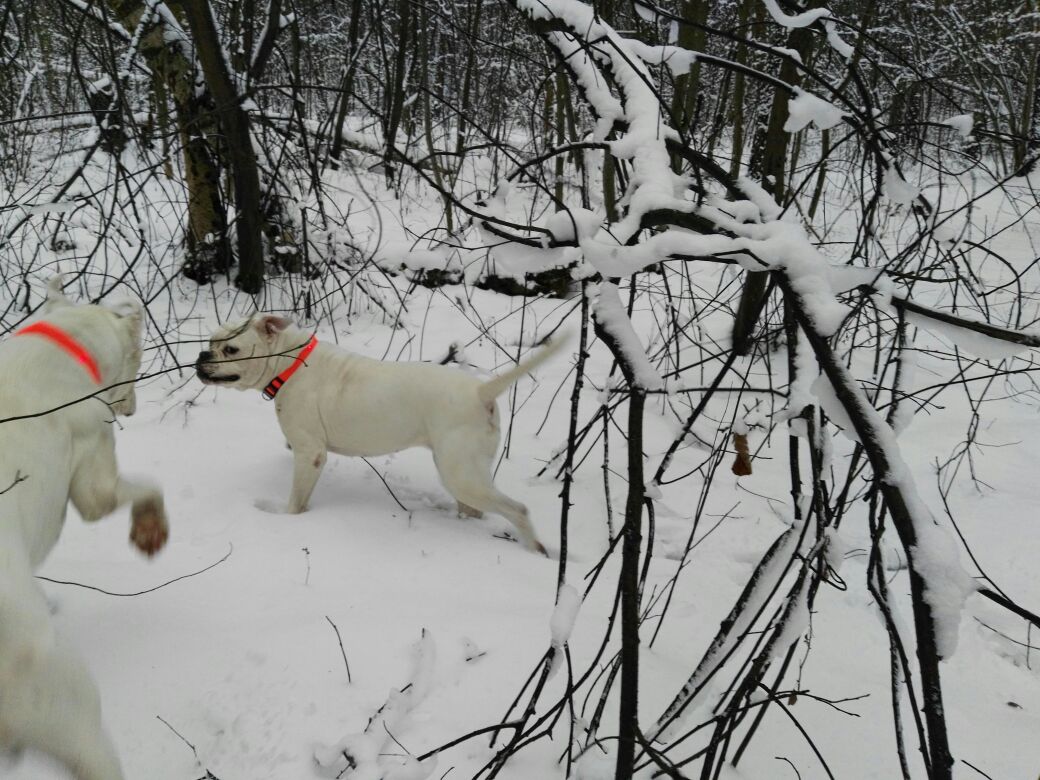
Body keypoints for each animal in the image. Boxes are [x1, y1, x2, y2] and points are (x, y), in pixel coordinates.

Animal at [0, 280, 168, 780]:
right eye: (138, 357)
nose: (133, 405)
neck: (64, 338)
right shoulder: (96, 475)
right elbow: (144, 487)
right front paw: (150, 528)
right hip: (72, 715)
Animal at [197, 314, 565, 553]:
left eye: (231, 350)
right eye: (211, 341)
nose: (201, 355)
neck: (290, 362)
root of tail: (481, 391)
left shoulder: (309, 454)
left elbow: (295, 503)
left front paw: (289, 524)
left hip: (462, 475)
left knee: (518, 510)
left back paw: (535, 548)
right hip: (466, 473)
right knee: (475, 509)